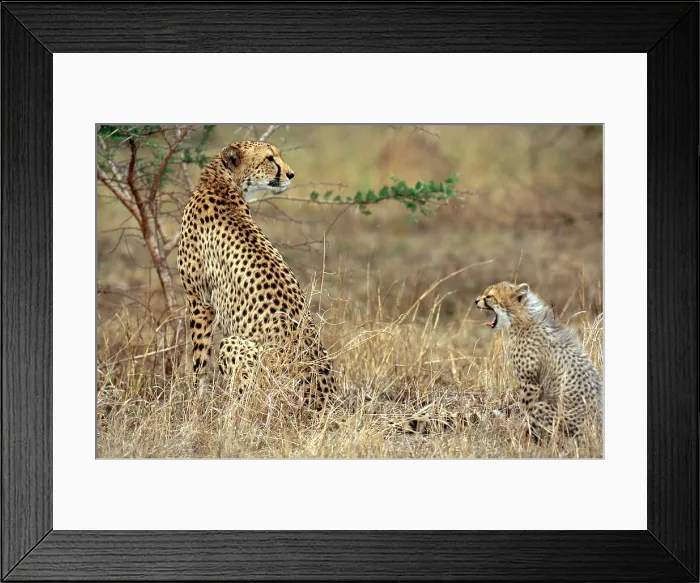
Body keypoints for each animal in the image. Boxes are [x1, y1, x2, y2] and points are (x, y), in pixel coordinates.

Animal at [177, 140, 337, 408]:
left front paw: (195, 402)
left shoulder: (199, 301)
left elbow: (199, 359)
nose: (291, 174)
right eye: (270, 158)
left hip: (236, 347)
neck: (222, 183)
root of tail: (325, 401)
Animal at [475, 281, 602, 439]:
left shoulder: (530, 384)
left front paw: (525, 437)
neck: (521, 320)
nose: (475, 301)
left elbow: (527, 411)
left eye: (489, 296)